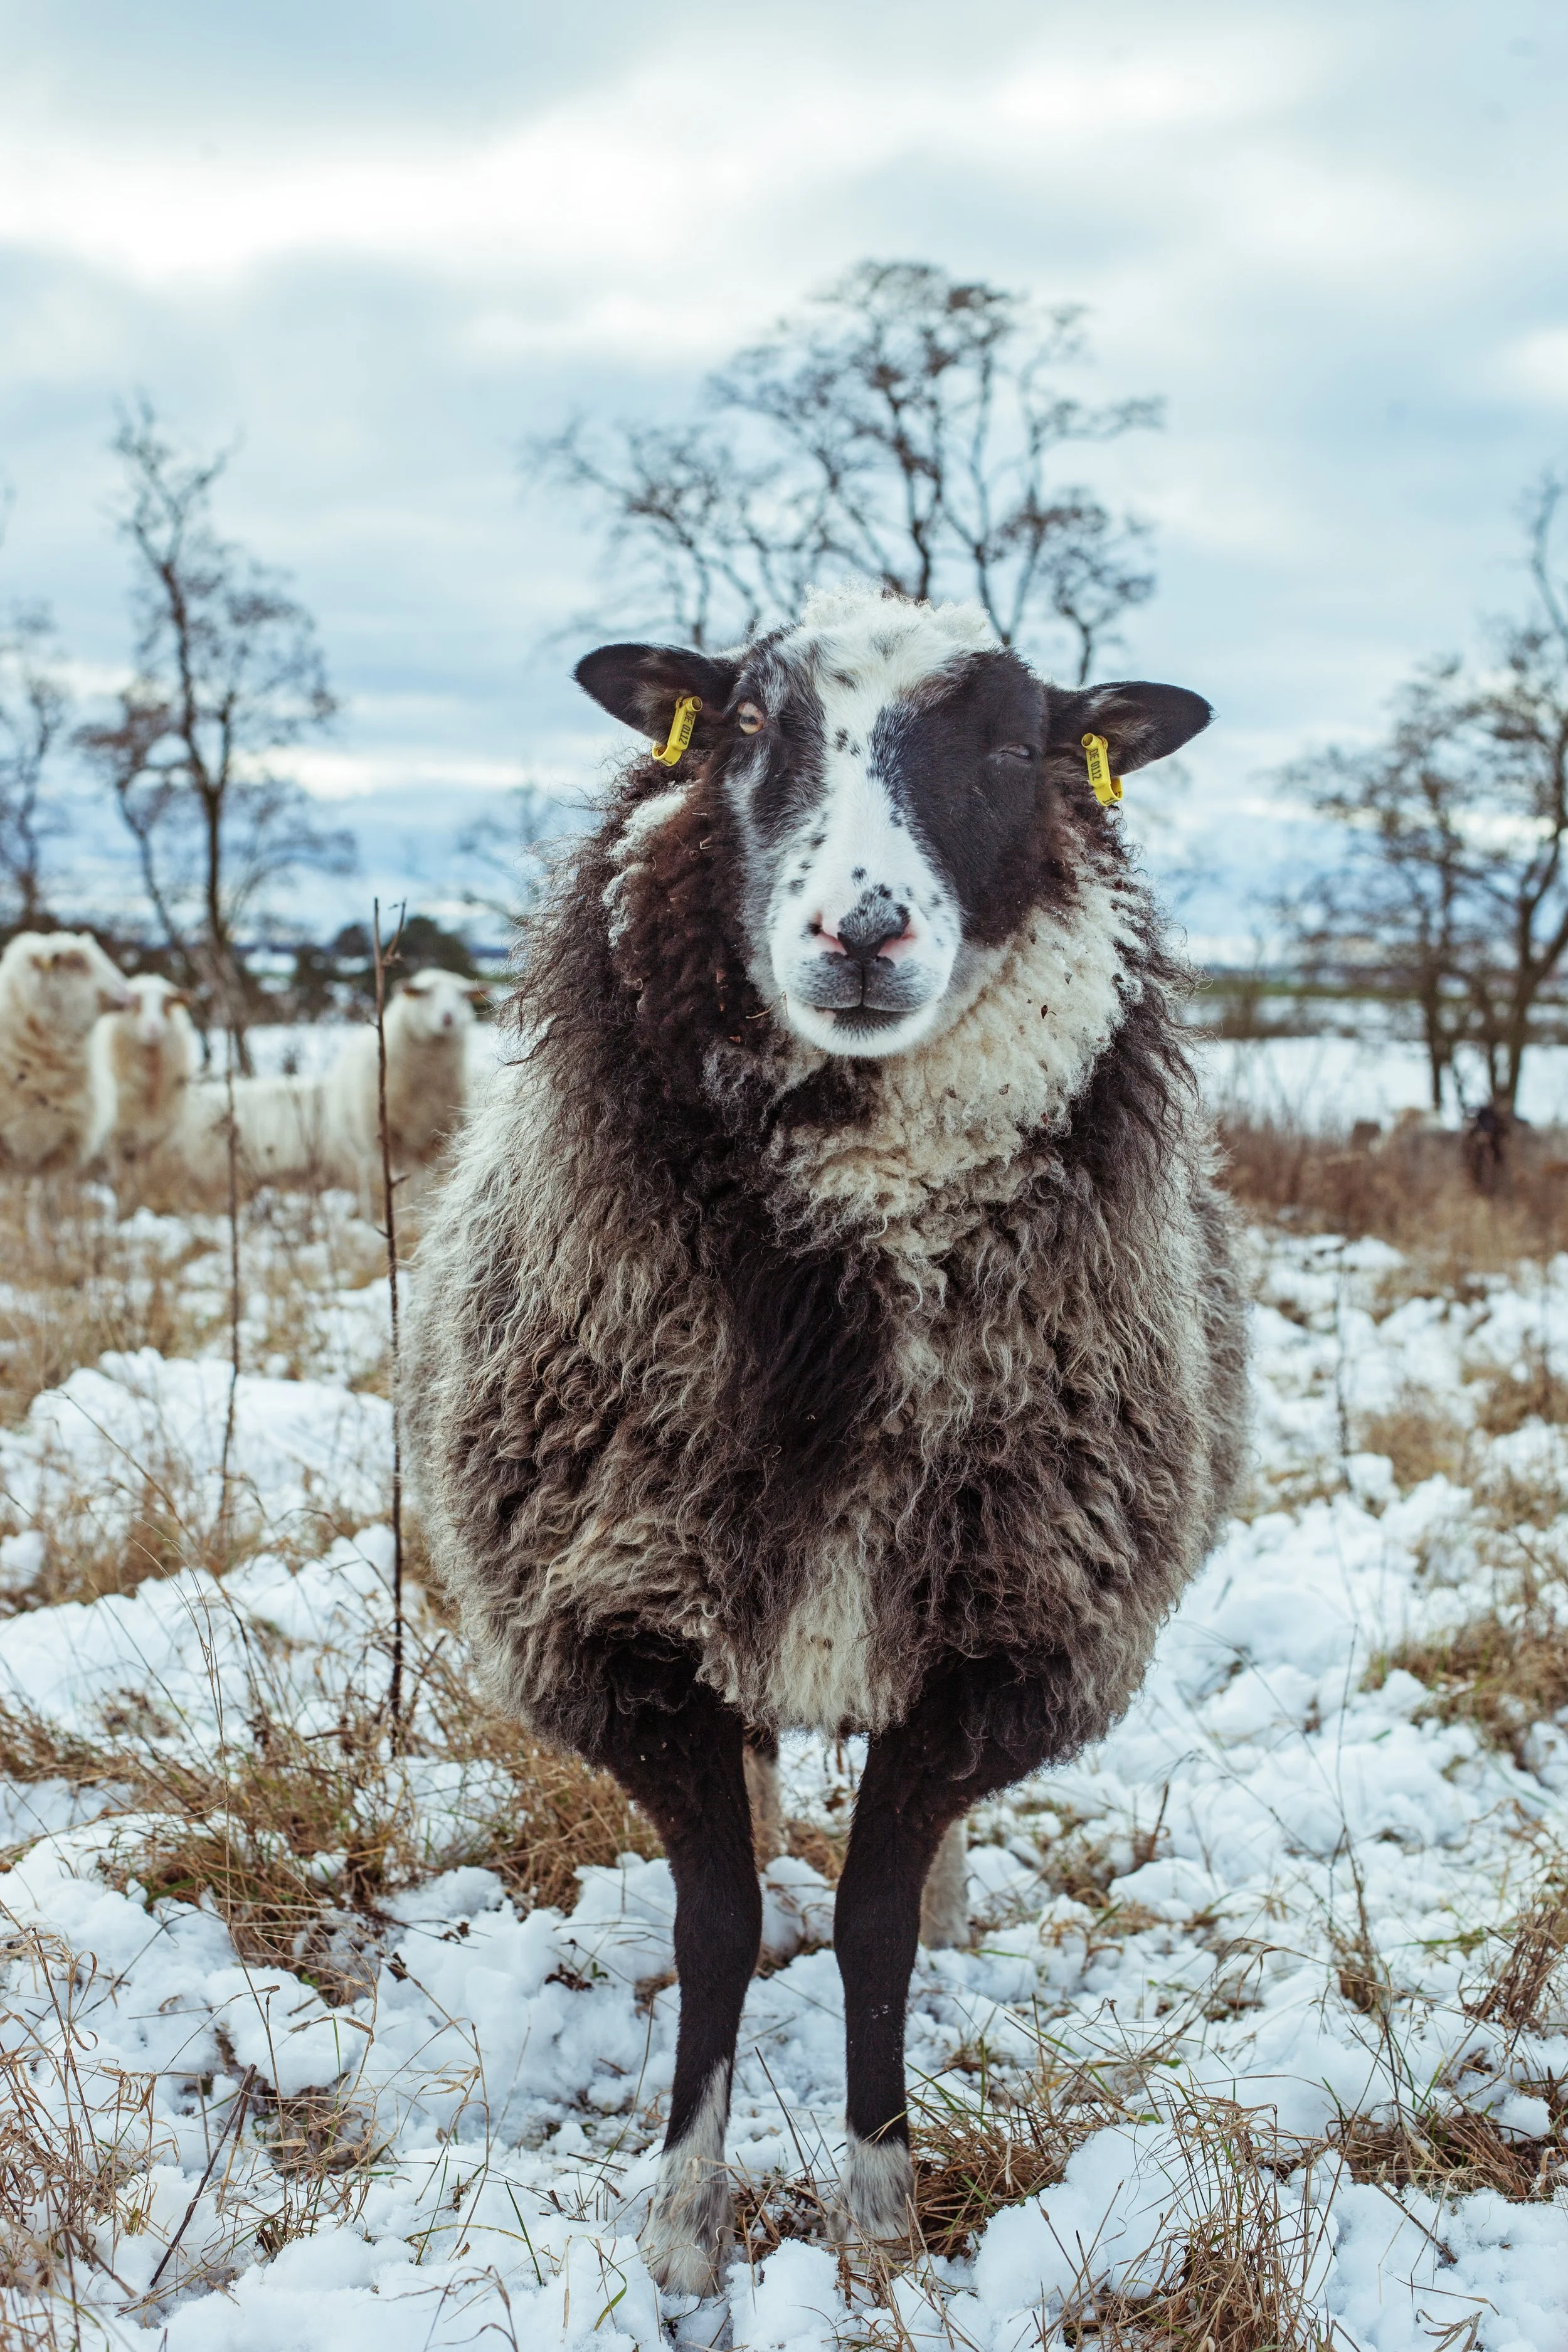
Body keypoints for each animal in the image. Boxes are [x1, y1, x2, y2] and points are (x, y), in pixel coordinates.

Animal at [86, 974, 199, 1183]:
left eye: (168, 1003)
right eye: (135, 1003)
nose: (153, 1027)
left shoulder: (155, 1140)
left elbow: (143, 1178)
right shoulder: (116, 1140)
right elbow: (122, 1180)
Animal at [403, 582, 1248, 2293]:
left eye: (1016, 747)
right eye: (744, 725)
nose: (859, 935)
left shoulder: (1000, 1640)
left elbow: (878, 1920)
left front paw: (877, 2212)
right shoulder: (622, 1629)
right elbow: (716, 1921)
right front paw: (678, 2227)